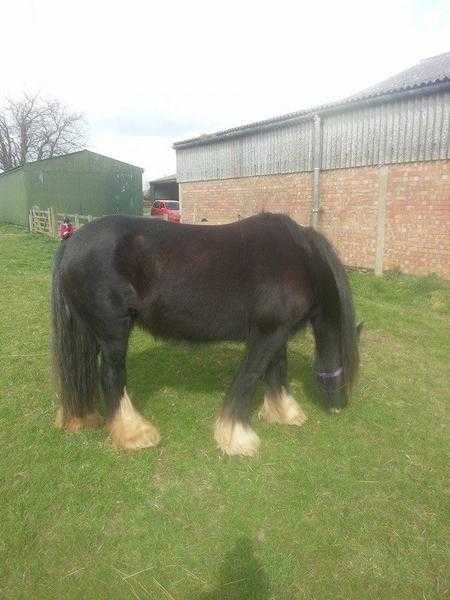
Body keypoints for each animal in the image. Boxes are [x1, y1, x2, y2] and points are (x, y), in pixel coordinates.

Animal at [51, 211, 360, 454]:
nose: (340, 405)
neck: (301, 259)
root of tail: (71, 242)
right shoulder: (266, 335)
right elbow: (249, 377)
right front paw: (237, 438)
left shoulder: (277, 333)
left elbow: (276, 372)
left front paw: (284, 412)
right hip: (114, 332)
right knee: (111, 377)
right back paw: (134, 433)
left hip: (91, 333)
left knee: (84, 372)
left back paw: (83, 417)